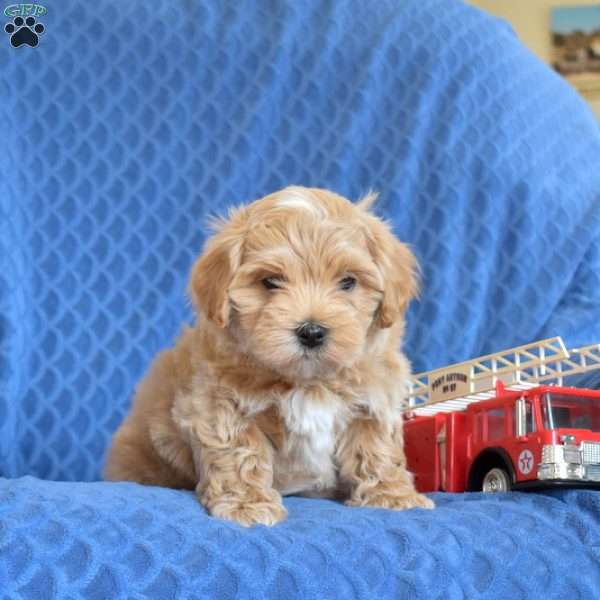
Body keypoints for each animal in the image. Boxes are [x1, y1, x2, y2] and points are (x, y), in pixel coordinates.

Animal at [105, 186, 434, 524]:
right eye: (270, 282)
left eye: (348, 282)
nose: (311, 332)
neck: (308, 381)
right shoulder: (220, 404)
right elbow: (239, 453)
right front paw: (247, 505)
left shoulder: (373, 398)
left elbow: (376, 448)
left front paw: (391, 496)